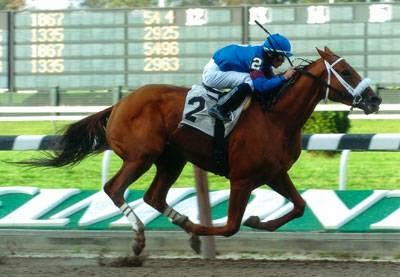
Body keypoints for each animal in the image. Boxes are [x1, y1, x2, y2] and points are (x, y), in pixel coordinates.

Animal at [27, 47, 382, 254]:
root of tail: (118, 104)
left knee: (153, 196)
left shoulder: (274, 173)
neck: (276, 117)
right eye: (346, 72)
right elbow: (230, 226)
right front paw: (204, 228)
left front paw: (257, 220)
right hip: (141, 156)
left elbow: (299, 206)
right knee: (114, 188)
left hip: (172, 159)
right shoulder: (242, 178)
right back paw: (141, 237)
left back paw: (182, 224)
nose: (375, 99)